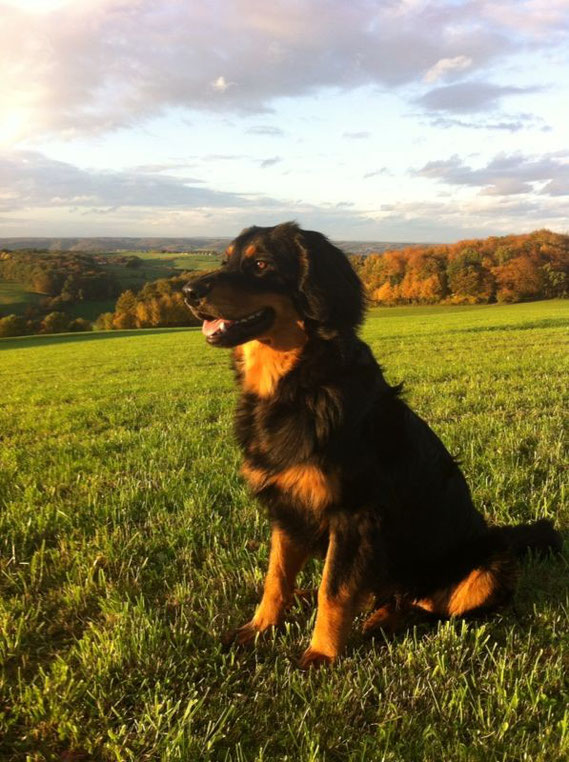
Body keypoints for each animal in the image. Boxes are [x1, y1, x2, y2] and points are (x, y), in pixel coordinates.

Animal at [182, 220, 560, 664]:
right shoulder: (288, 509)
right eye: (225, 261)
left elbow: (334, 590)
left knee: (430, 608)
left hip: (490, 565)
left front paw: (321, 654)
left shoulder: (353, 515)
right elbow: (276, 579)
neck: (298, 386)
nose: (188, 291)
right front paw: (259, 628)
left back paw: (384, 621)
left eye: (261, 264)